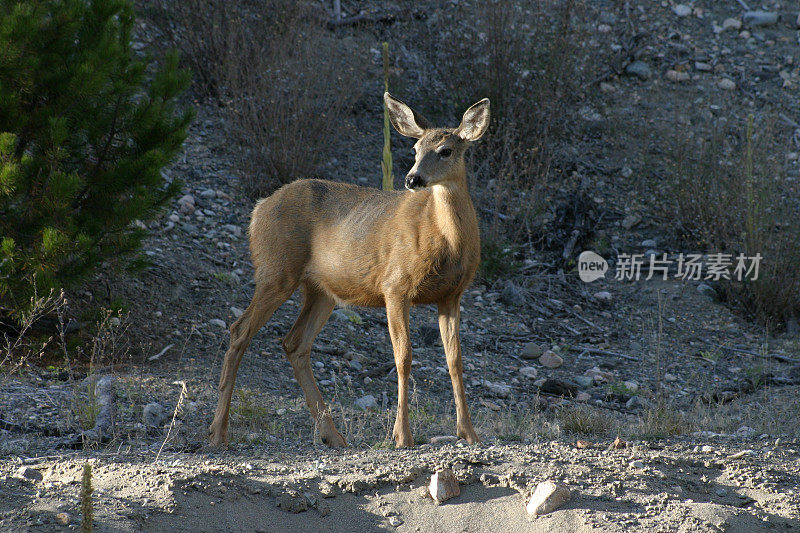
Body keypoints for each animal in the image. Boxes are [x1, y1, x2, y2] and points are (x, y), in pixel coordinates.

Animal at [209, 93, 488, 446]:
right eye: (415, 149)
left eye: (445, 150)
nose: (412, 179)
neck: (446, 239)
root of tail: (258, 209)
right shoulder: (395, 285)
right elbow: (403, 357)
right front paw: (402, 436)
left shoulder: (452, 295)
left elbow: (455, 361)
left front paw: (469, 433)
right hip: (276, 270)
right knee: (239, 330)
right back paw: (217, 432)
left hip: (321, 291)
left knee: (294, 343)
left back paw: (332, 436)